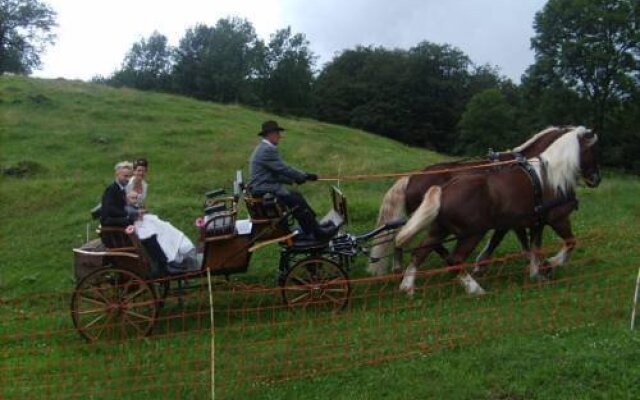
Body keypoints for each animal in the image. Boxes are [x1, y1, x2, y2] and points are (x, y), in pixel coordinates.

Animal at [396, 126, 600, 296]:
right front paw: (550, 264)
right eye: (592, 150)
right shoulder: (558, 218)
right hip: (473, 233)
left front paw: (537, 272)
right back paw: (475, 289)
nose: (596, 178)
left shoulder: (530, 222)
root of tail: (442, 190)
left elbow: (531, 247)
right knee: (454, 259)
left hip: (438, 229)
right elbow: (570, 243)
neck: (552, 176)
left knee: (420, 252)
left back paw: (408, 286)